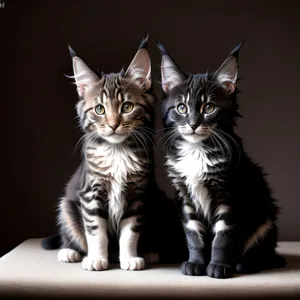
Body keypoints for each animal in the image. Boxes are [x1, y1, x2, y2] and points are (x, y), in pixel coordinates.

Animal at [53, 36, 173, 270]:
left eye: (127, 107)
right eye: (99, 109)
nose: (113, 125)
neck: (117, 150)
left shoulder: (138, 194)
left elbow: (130, 232)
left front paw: (130, 258)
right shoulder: (91, 192)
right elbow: (96, 231)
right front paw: (97, 259)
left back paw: (150, 252)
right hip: (66, 206)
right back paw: (69, 251)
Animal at [158, 42, 284, 278]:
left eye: (209, 108)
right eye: (181, 108)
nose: (193, 124)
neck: (197, 149)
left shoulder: (229, 195)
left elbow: (223, 237)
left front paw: (218, 266)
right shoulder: (184, 196)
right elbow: (193, 234)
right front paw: (195, 263)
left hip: (265, 219)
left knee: (264, 253)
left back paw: (244, 263)